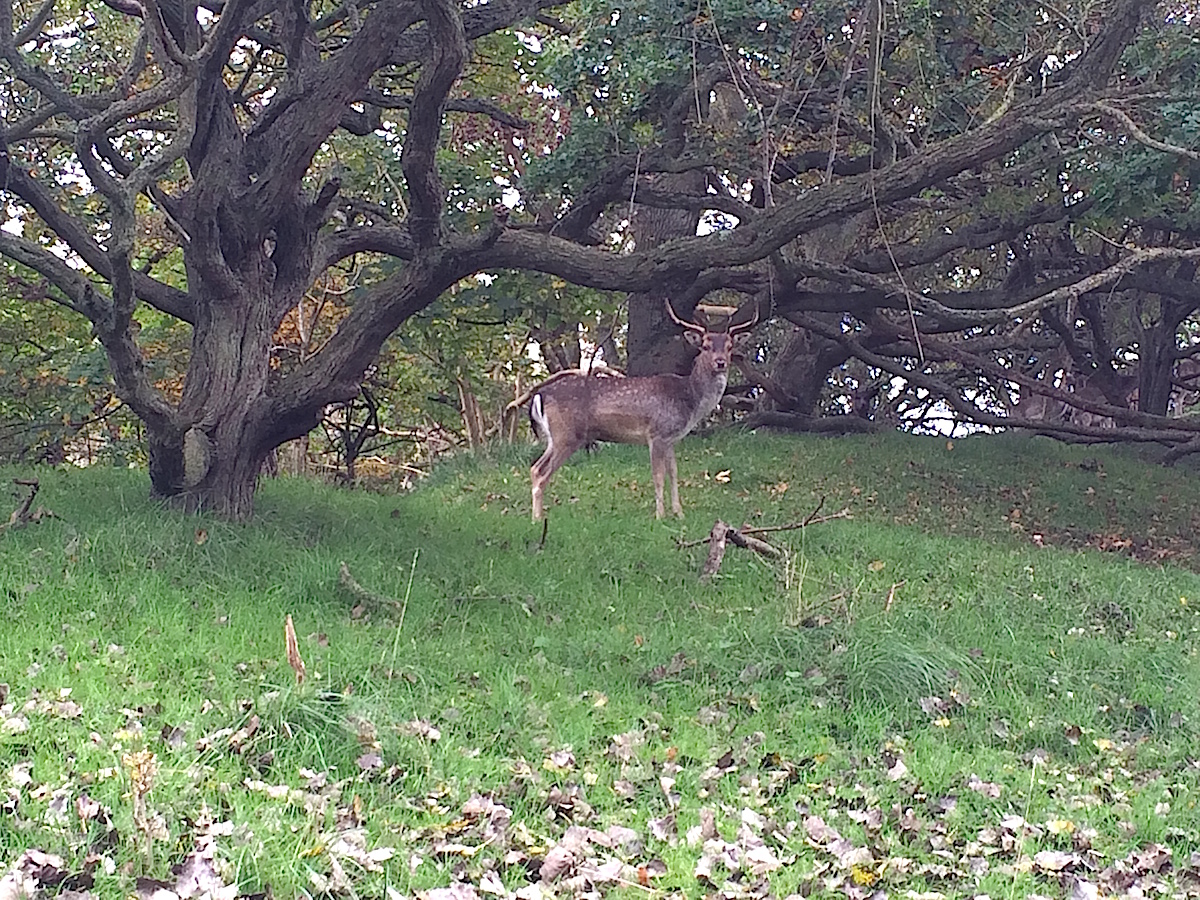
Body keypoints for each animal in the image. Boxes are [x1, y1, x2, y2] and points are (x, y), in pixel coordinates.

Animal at [523, 301, 748, 520]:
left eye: (729, 346)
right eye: (706, 346)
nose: (720, 362)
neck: (690, 400)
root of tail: (540, 395)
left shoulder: (671, 439)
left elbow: (673, 473)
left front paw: (679, 513)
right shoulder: (656, 433)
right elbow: (658, 476)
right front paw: (660, 516)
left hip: (554, 437)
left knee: (535, 468)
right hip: (567, 434)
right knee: (542, 473)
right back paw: (537, 519)